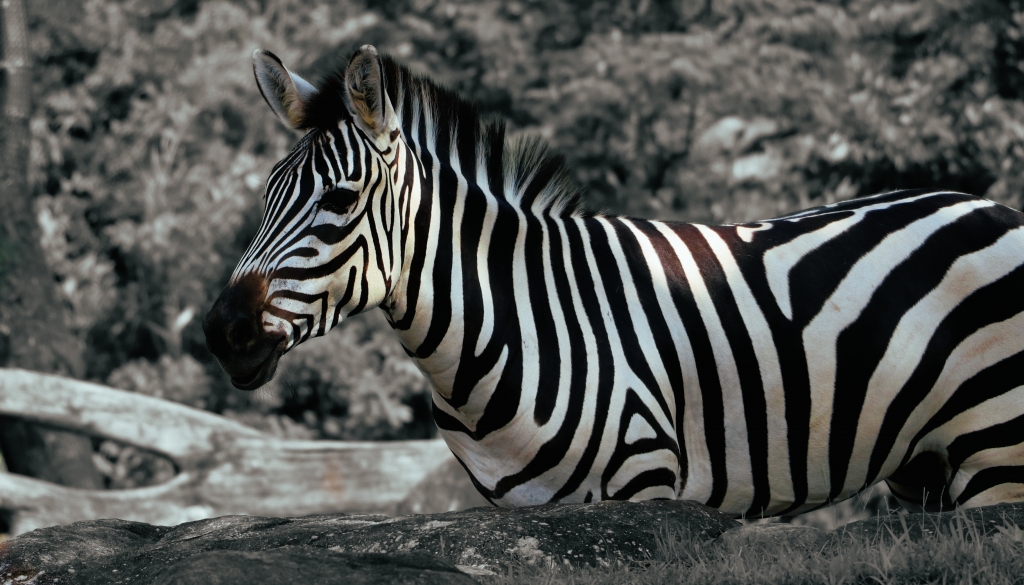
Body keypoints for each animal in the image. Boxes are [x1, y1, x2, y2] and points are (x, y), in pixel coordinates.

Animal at [204, 45, 1024, 518]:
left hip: (998, 449)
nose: (221, 331)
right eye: (266, 196)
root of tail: (991, 205)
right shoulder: (520, 515)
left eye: (339, 201)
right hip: (923, 465)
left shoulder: (643, 483)